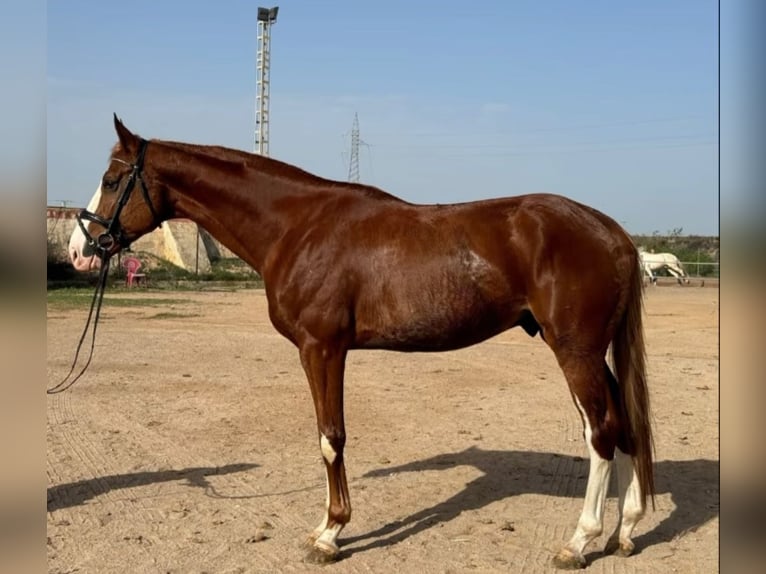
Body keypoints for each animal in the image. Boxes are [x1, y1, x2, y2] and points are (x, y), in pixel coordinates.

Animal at [69, 115, 656, 568]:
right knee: (625, 425)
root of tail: (611, 231)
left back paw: (579, 542)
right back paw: (625, 532)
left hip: (575, 351)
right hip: (593, 353)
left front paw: (330, 533)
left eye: (111, 178)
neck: (298, 226)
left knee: (600, 433)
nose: (80, 248)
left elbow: (331, 438)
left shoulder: (322, 348)